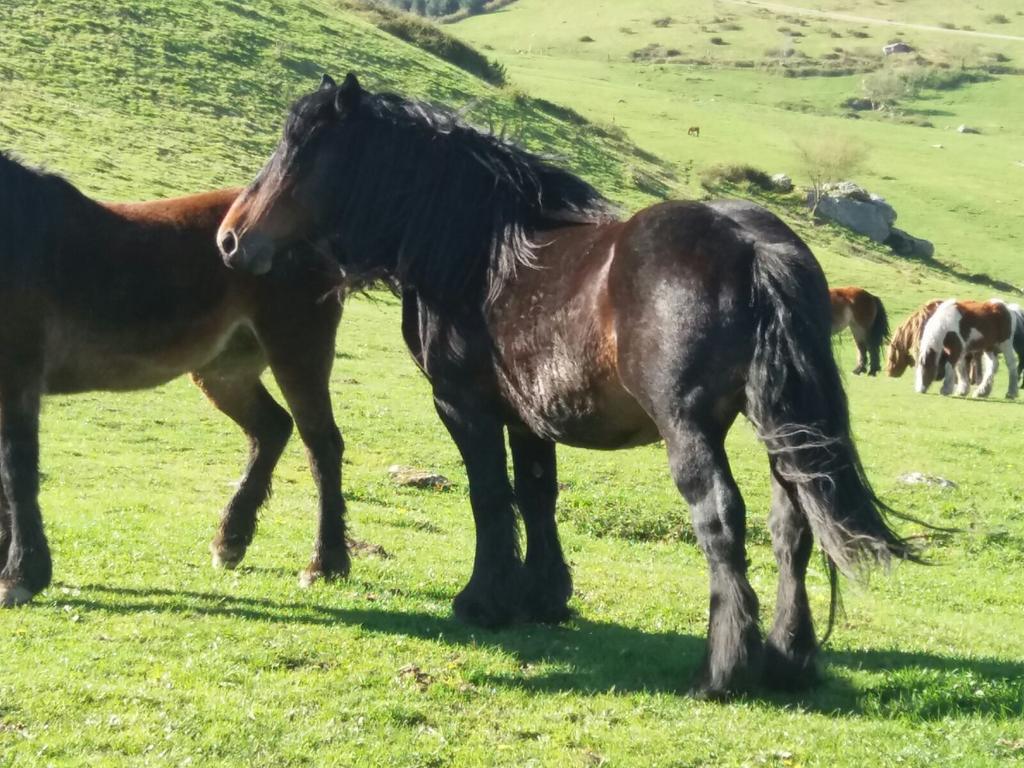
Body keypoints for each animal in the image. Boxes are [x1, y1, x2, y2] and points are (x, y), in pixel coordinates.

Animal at [0, 150, 352, 606]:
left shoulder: (18, 379)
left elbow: (17, 472)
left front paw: (21, 575)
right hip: (224, 373)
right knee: (272, 428)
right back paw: (230, 541)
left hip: (297, 352)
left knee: (321, 446)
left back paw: (325, 564)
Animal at [216, 75, 921, 700]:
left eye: (298, 150)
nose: (229, 238)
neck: (479, 254)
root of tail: (752, 245)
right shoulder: (531, 417)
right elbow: (536, 496)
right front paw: (544, 595)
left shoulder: (462, 406)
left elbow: (489, 497)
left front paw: (484, 599)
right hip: (776, 424)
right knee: (791, 526)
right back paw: (788, 660)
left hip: (690, 427)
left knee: (722, 519)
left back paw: (721, 671)